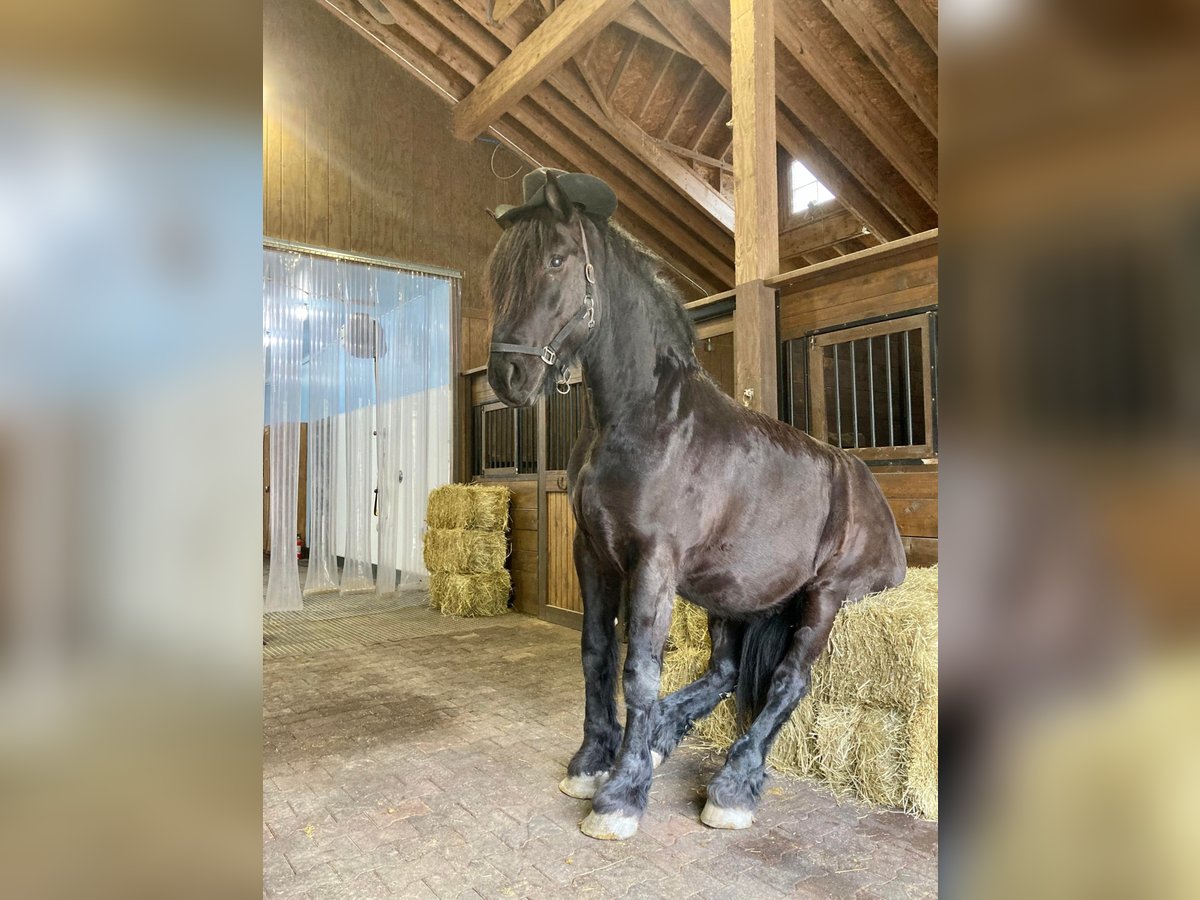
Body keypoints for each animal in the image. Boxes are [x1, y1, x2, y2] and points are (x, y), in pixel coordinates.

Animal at [482, 174, 902, 840]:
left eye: (556, 260)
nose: (508, 376)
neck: (643, 416)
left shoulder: (654, 562)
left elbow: (640, 671)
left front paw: (621, 796)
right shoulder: (591, 554)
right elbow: (597, 654)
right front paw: (594, 761)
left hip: (827, 596)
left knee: (789, 682)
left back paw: (733, 785)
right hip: (731, 598)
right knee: (726, 673)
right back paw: (662, 740)